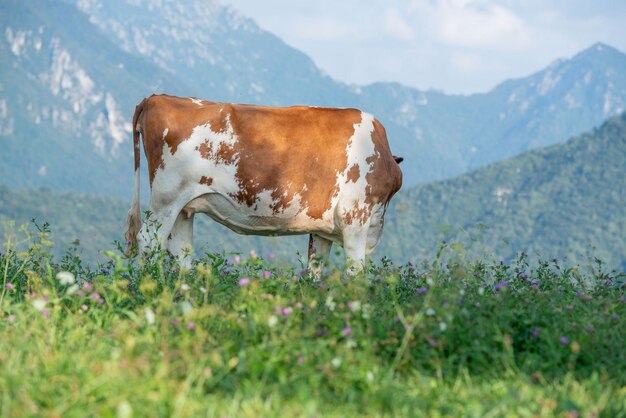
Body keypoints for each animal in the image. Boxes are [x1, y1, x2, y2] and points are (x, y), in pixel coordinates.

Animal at [124, 94, 402, 274]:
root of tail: (156, 97)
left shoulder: (323, 228)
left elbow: (315, 272)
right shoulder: (355, 216)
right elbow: (356, 274)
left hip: (185, 205)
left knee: (181, 250)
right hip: (166, 199)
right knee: (148, 241)